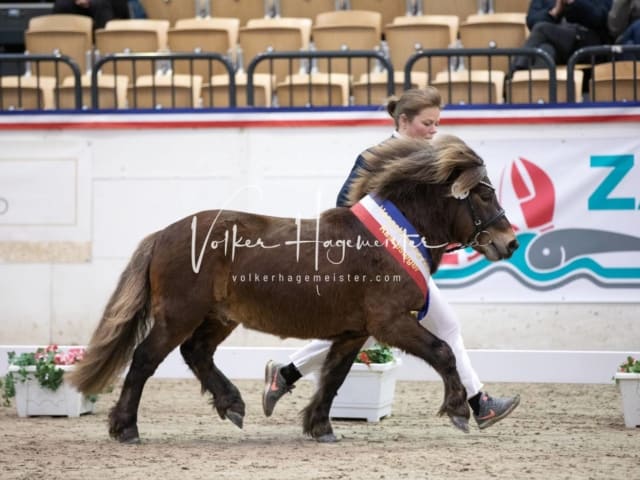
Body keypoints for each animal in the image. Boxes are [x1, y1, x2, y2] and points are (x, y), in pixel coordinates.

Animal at [69, 134, 520, 442]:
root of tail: (163, 234)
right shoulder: (390, 321)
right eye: (483, 194)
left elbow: (334, 377)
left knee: (196, 352)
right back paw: (126, 428)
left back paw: (232, 404)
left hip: (219, 316)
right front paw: (459, 409)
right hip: (179, 314)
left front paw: (320, 427)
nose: (510, 242)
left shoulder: (354, 331)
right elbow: (443, 352)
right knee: (145, 359)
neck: (388, 238)